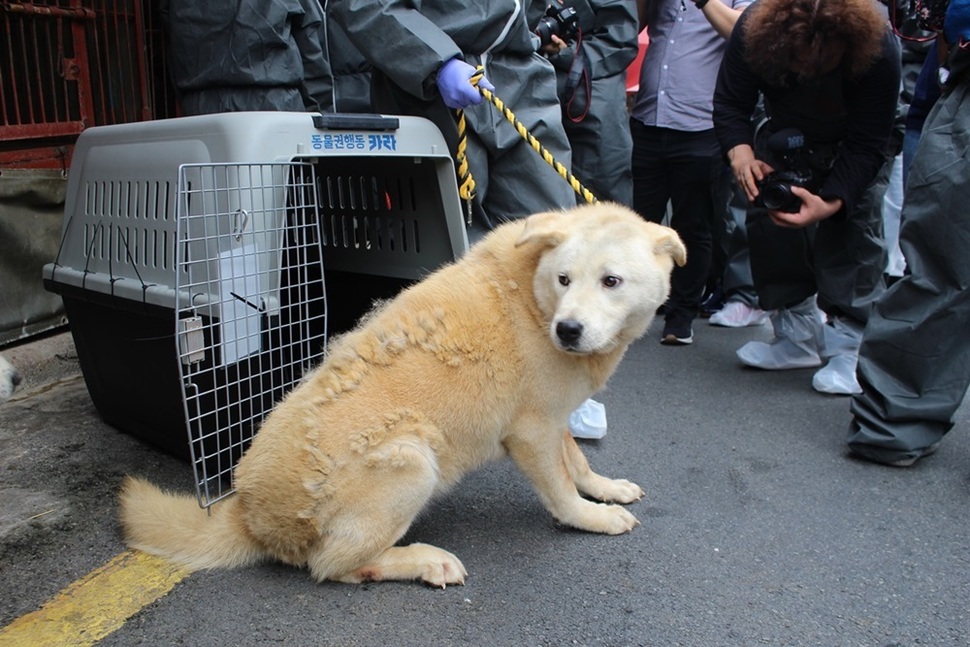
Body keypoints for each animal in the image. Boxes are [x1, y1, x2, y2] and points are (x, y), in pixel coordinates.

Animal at [119, 202, 680, 588]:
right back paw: (424, 561)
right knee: (332, 566)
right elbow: (562, 493)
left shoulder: (554, 416)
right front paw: (593, 519)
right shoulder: (531, 431)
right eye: (565, 279)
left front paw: (605, 489)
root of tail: (251, 515)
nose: (568, 330)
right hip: (412, 457)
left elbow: (578, 464)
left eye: (611, 281)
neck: (534, 299)